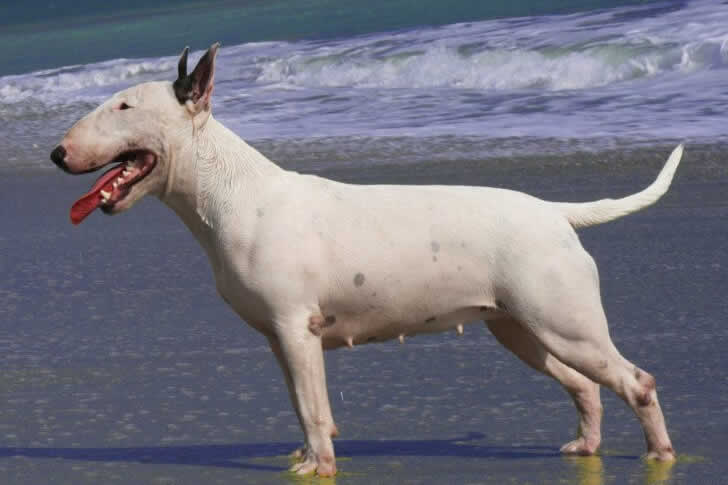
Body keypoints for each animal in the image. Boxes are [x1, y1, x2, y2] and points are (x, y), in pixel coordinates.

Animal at [50, 44, 681, 476]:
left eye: (125, 105)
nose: (57, 153)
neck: (234, 194)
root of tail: (554, 212)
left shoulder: (296, 327)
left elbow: (310, 406)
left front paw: (318, 466)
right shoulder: (281, 339)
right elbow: (305, 405)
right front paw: (310, 456)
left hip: (565, 324)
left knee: (636, 382)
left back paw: (660, 454)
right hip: (522, 331)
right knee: (585, 386)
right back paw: (588, 446)